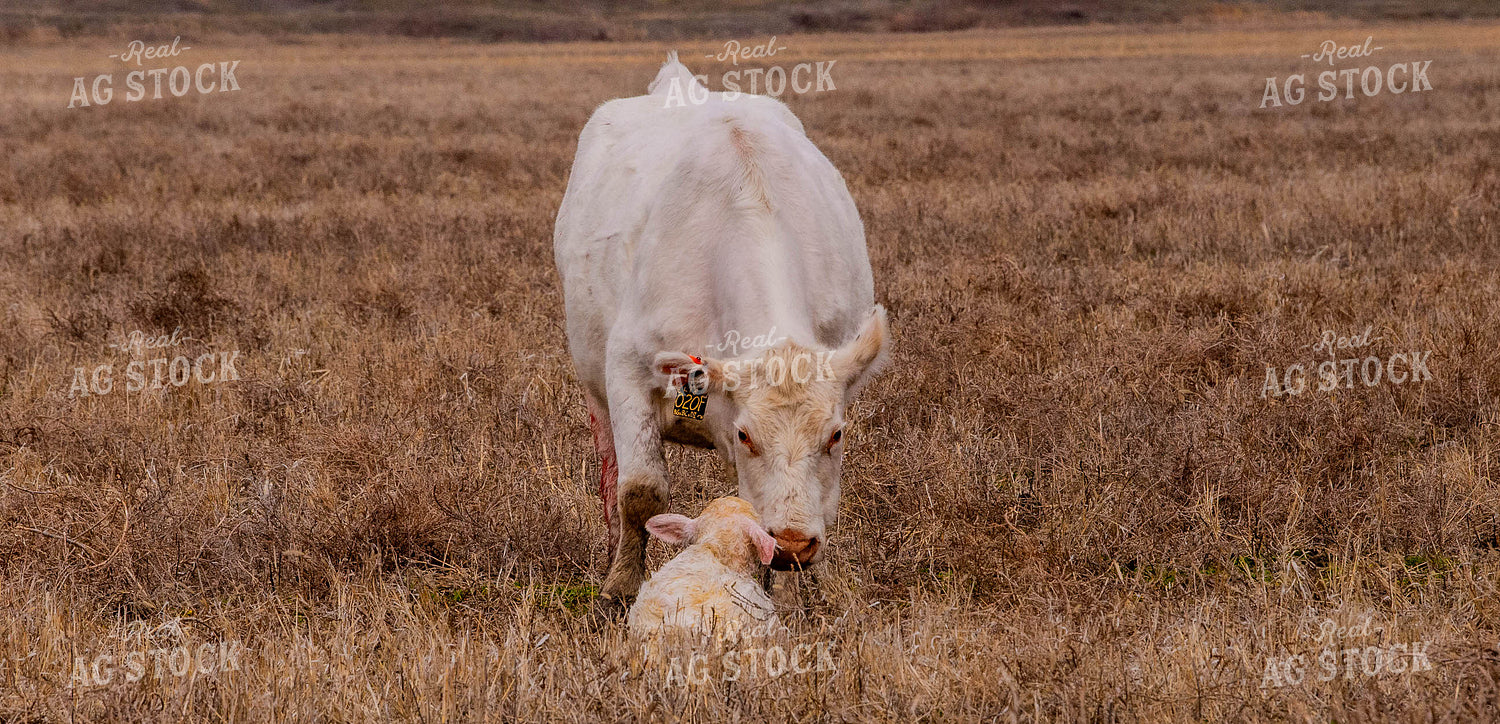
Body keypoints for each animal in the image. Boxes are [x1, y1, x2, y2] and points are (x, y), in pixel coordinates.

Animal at [553, 52, 889, 604]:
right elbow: (640, 493)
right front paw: (621, 586)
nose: (794, 543)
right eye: (746, 434)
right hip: (593, 388)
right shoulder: (628, 369)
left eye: (837, 434)